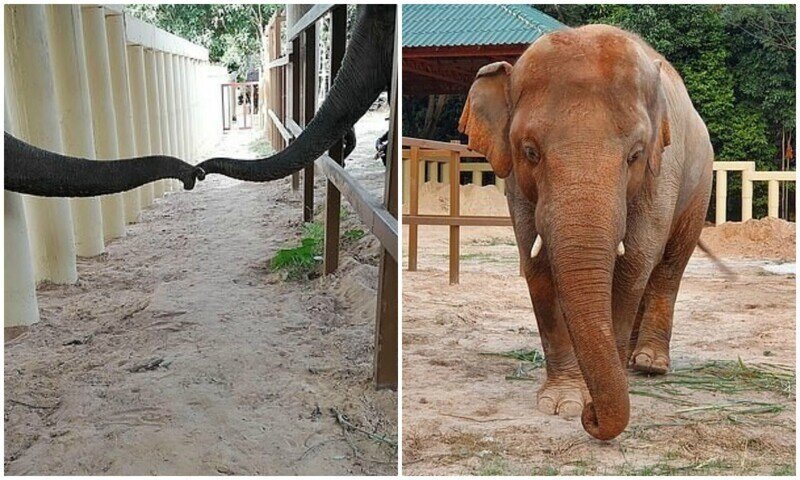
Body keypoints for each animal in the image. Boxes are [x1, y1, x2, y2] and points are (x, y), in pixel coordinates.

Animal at [460, 25, 716, 438]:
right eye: (530, 151)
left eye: (635, 155)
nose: (591, 416)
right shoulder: (517, 184)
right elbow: (537, 269)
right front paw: (563, 402)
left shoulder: (662, 171)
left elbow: (633, 264)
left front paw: (596, 394)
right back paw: (632, 361)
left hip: (699, 184)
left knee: (668, 266)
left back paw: (648, 363)